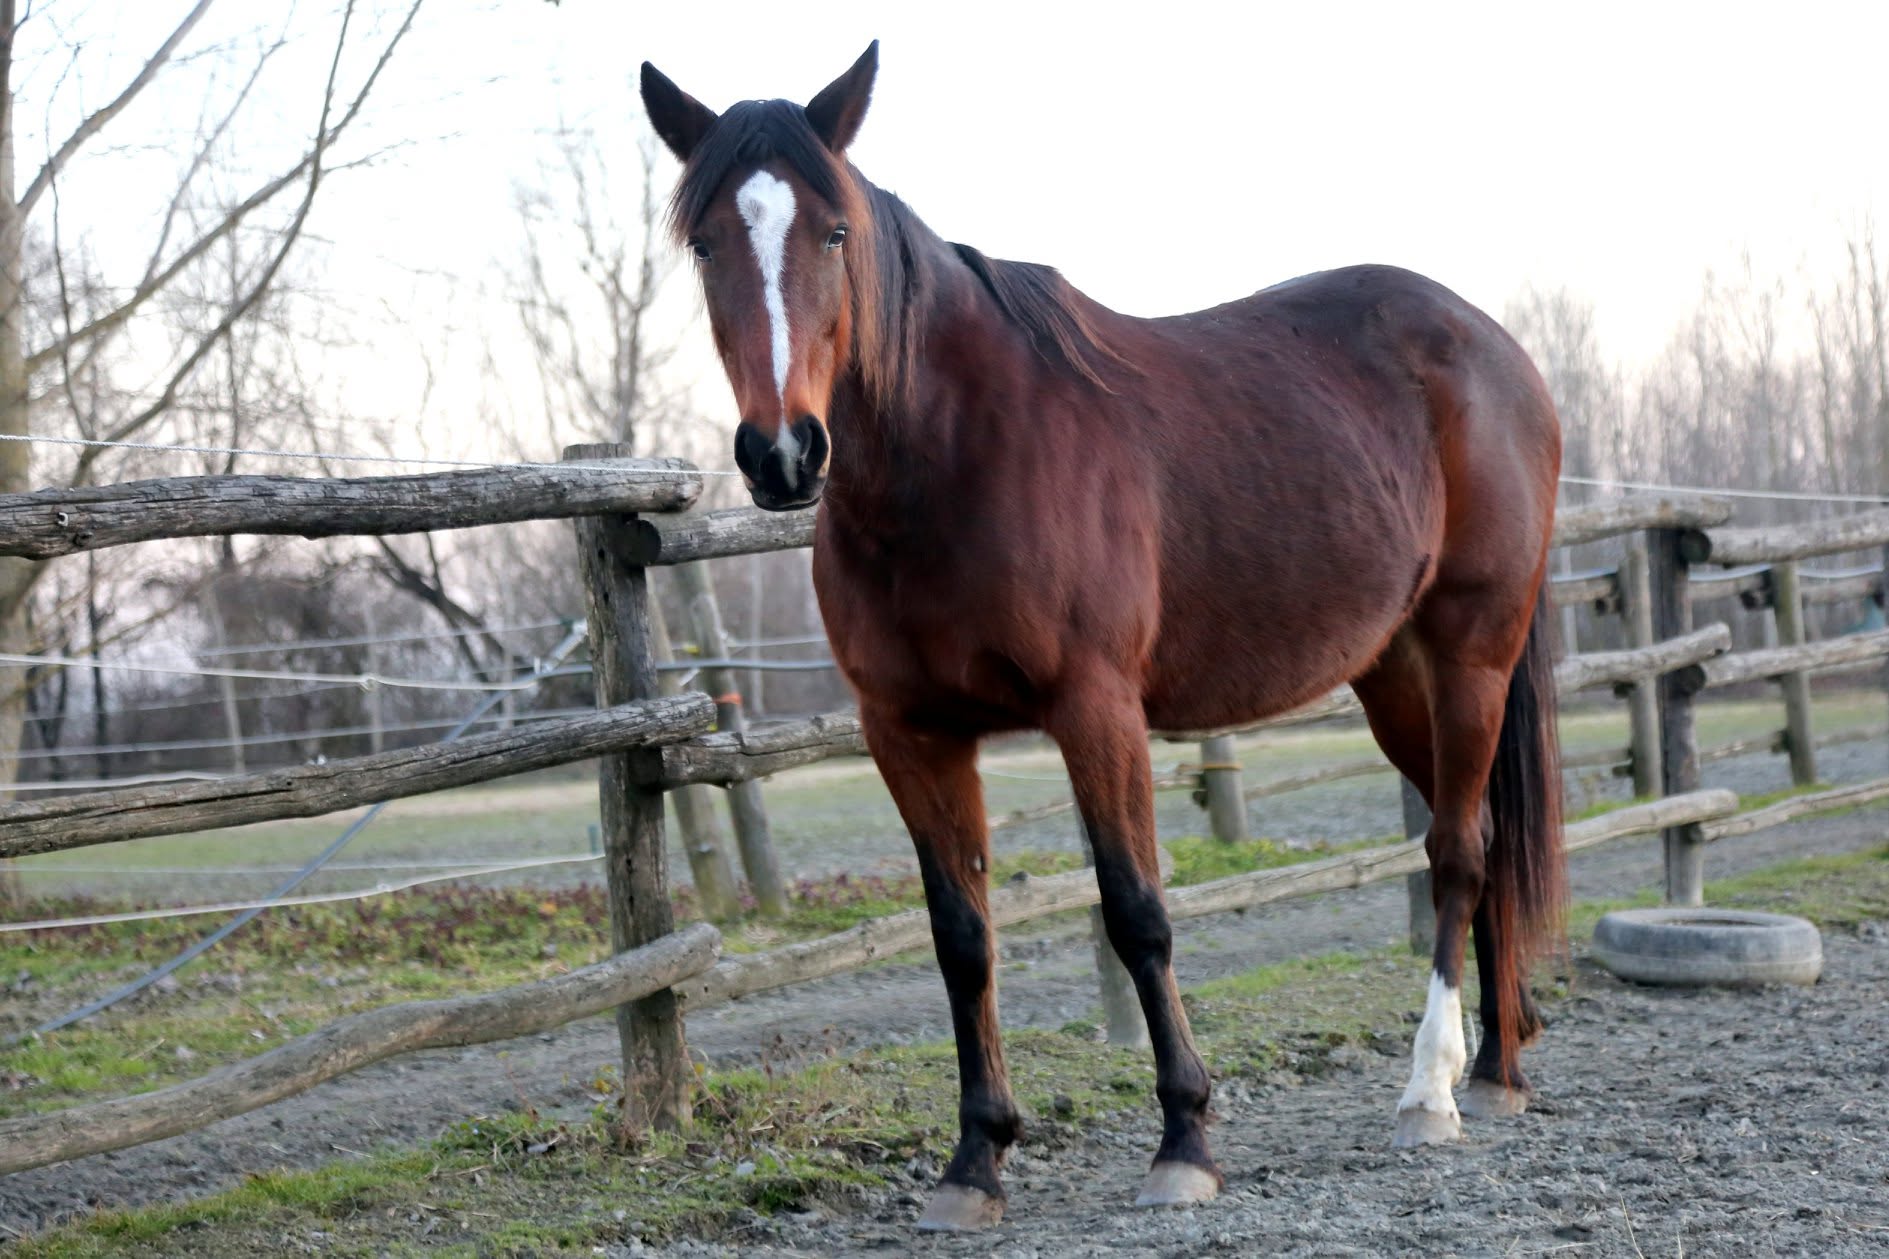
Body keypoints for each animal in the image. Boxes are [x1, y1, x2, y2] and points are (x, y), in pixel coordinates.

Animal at [641, 41, 1566, 1231]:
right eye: (706, 241)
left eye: (835, 232)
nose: (783, 453)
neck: (955, 459)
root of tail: (1491, 347)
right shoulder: (909, 731)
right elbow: (961, 936)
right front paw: (975, 1157)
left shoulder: (1094, 709)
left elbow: (1136, 914)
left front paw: (1184, 1140)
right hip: (1395, 677)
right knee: (1485, 839)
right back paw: (1496, 1066)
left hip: (1469, 654)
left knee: (1453, 851)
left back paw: (1431, 1090)